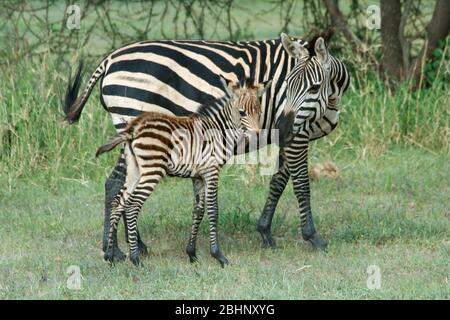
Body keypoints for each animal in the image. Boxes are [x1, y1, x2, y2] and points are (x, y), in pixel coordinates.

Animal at [96, 79, 270, 266]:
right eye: (241, 112)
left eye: (259, 111)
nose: (257, 136)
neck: (220, 130)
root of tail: (133, 128)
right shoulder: (212, 171)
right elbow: (213, 210)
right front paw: (218, 255)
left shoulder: (198, 176)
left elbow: (198, 211)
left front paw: (192, 254)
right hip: (152, 170)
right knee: (132, 205)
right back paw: (136, 259)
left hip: (134, 170)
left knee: (118, 203)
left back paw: (110, 255)